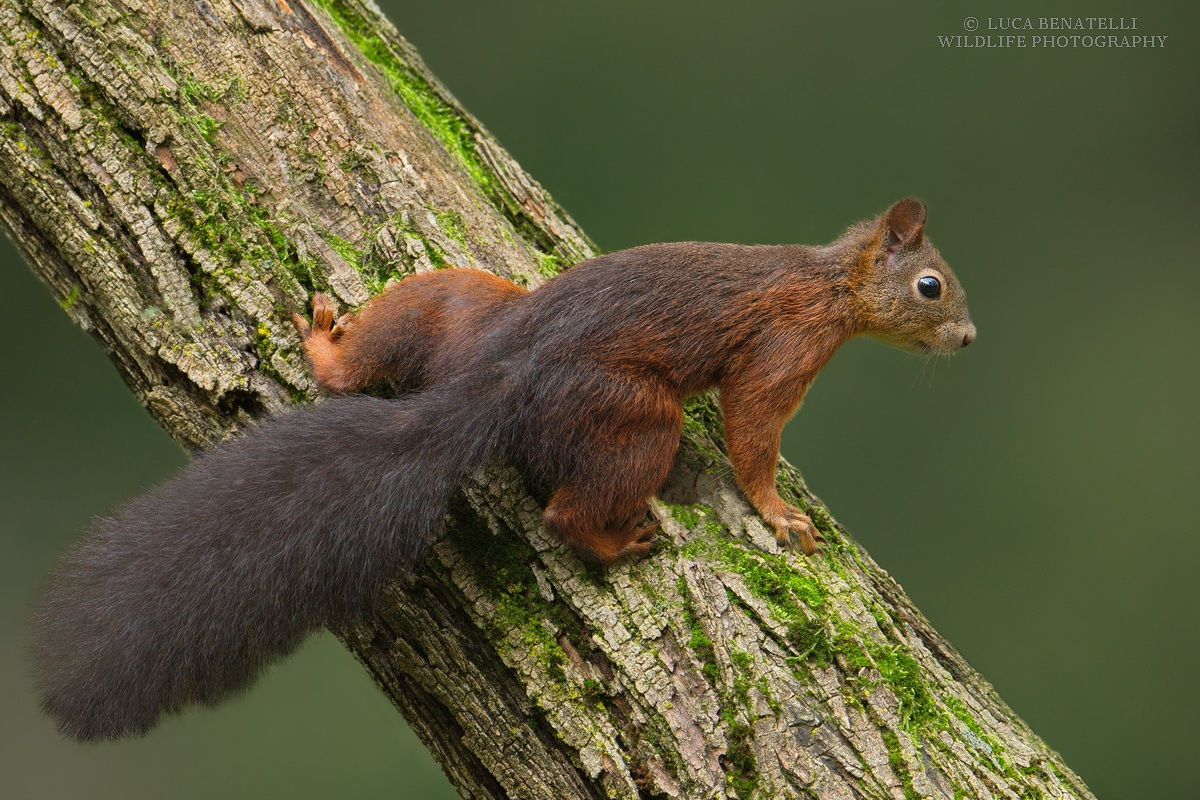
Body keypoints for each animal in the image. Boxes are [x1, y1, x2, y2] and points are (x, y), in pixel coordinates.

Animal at [31, 197, 974, 741]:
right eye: (931, 286)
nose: (968, 340)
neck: (830, 285)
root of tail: (491, 380)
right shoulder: (780, 349)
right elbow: (752, 432)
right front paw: (777, 513)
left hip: (457, 304)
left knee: (387, 336)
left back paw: (327, 347)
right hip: (633, 416)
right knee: (569, 511)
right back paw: (613, 542)